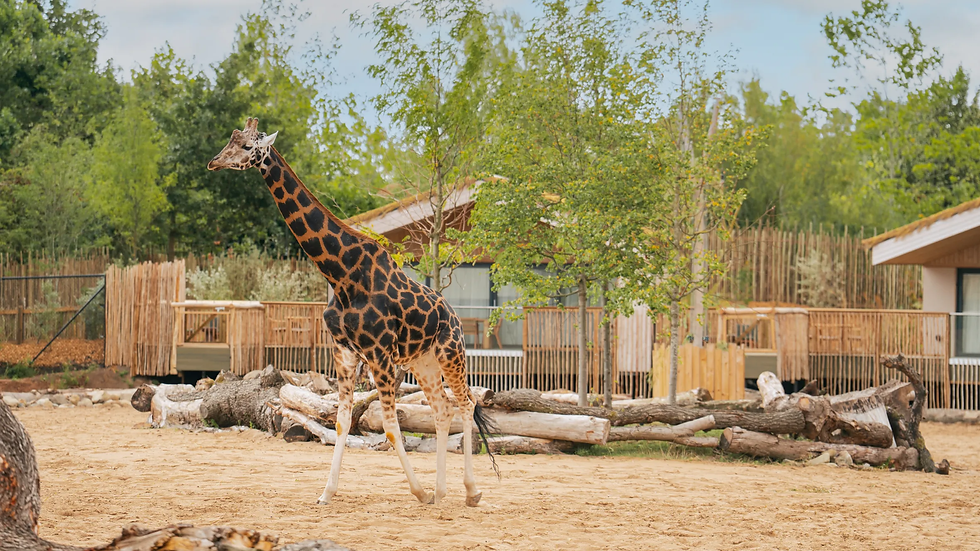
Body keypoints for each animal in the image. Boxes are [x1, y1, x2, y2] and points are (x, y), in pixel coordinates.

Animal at [207, 118, 495, 506]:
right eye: (230, 141)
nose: (214, 162)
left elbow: (390, 427)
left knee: (465, 404)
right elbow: (342, 420)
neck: (340, 273)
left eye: (249, 146)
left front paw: (418, 492)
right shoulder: (344, 352)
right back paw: (441, 491)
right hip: (424, 362)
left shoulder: (380, 354)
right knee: (442, 408)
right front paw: (326, 494)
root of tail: (454, 316)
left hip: (451, 352)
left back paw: (471, 492)